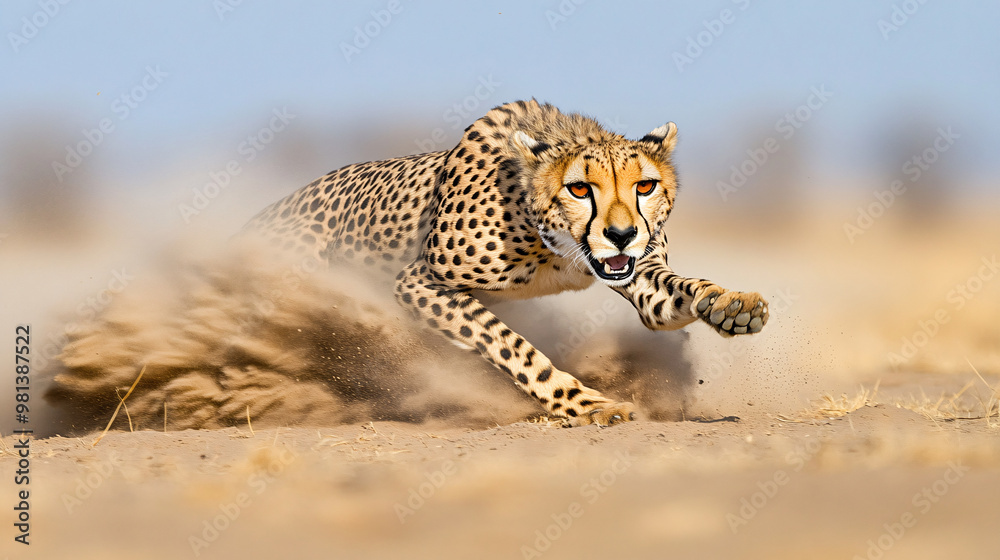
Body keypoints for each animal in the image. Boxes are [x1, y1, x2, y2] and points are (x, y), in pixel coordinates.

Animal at [244, 99, 769, 427]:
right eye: (580, 188)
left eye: (645, 185)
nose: (621, 234)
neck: (550, 244)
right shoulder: (419, 282)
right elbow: (513, 348)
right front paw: (587, 405)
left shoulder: (634, 269)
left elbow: (677, 294)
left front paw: (732, 305)